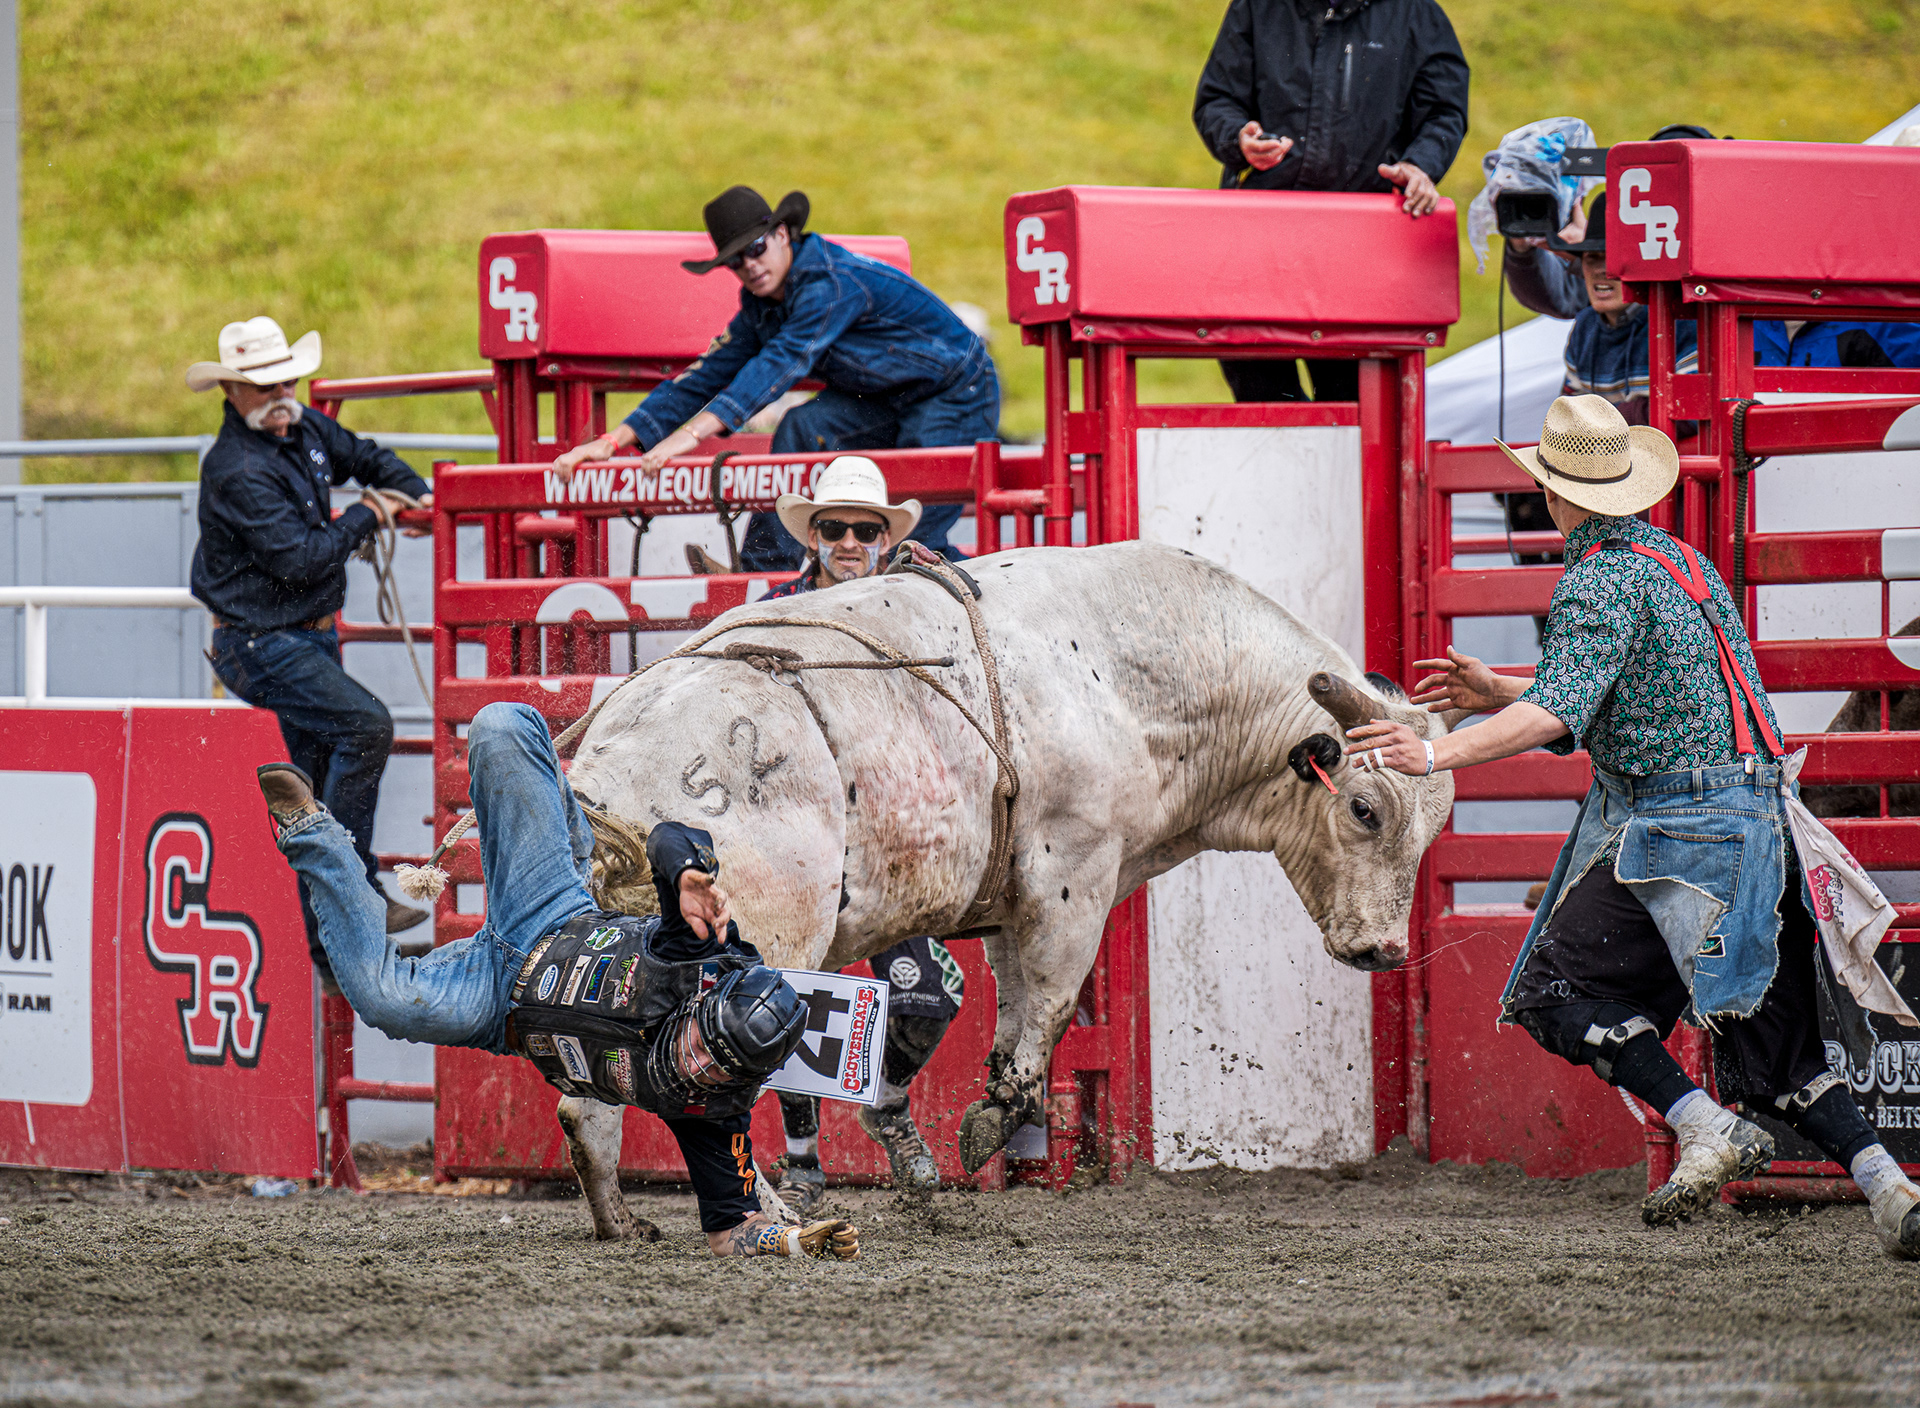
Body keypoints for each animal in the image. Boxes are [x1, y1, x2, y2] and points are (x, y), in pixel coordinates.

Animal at [555, 541, 1458, 1237]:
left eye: (1437, 823)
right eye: (1368, 809)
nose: (1384, 950)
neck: (1133, 678)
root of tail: (615, 769)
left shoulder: (1012, 899)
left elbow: (1016, 997)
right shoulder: (1073, 880)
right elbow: (1052, 1004)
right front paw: (995, 1119)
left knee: (588, 1091)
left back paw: (620, 1219)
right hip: (755, 951)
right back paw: (770, 1216)